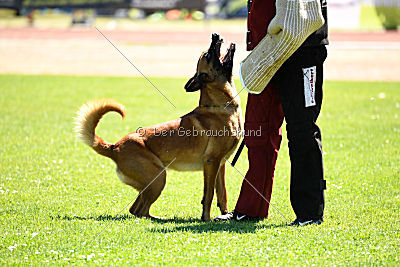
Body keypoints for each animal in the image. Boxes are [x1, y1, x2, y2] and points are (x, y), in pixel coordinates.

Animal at [76, 33, 242, 222]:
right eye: (207, 54)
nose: (215, 35)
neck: (220, 106)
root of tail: (114, 147)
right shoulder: (211, 162)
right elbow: (208, 195)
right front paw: (205, 219)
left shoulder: (220, 165)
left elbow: (222, 194)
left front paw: (225, 215)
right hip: (158, 177)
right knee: (139, 210)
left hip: (152, 182)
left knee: (136, 210)